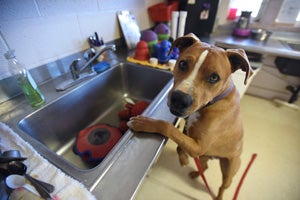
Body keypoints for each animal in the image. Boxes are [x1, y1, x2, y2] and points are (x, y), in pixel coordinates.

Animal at [126, 33, 253, 199]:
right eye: (183, 64)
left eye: (214, 77)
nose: (179, 99)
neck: (214, 102)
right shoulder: (191, 138)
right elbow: (179, 144)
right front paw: (184, 159)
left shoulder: (198, 147)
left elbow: (167, 127)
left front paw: (144, 123)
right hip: (204, 156)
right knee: (204, 167)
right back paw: (195, 173)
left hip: (229, 170)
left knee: (222, 187)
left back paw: (218, 196)